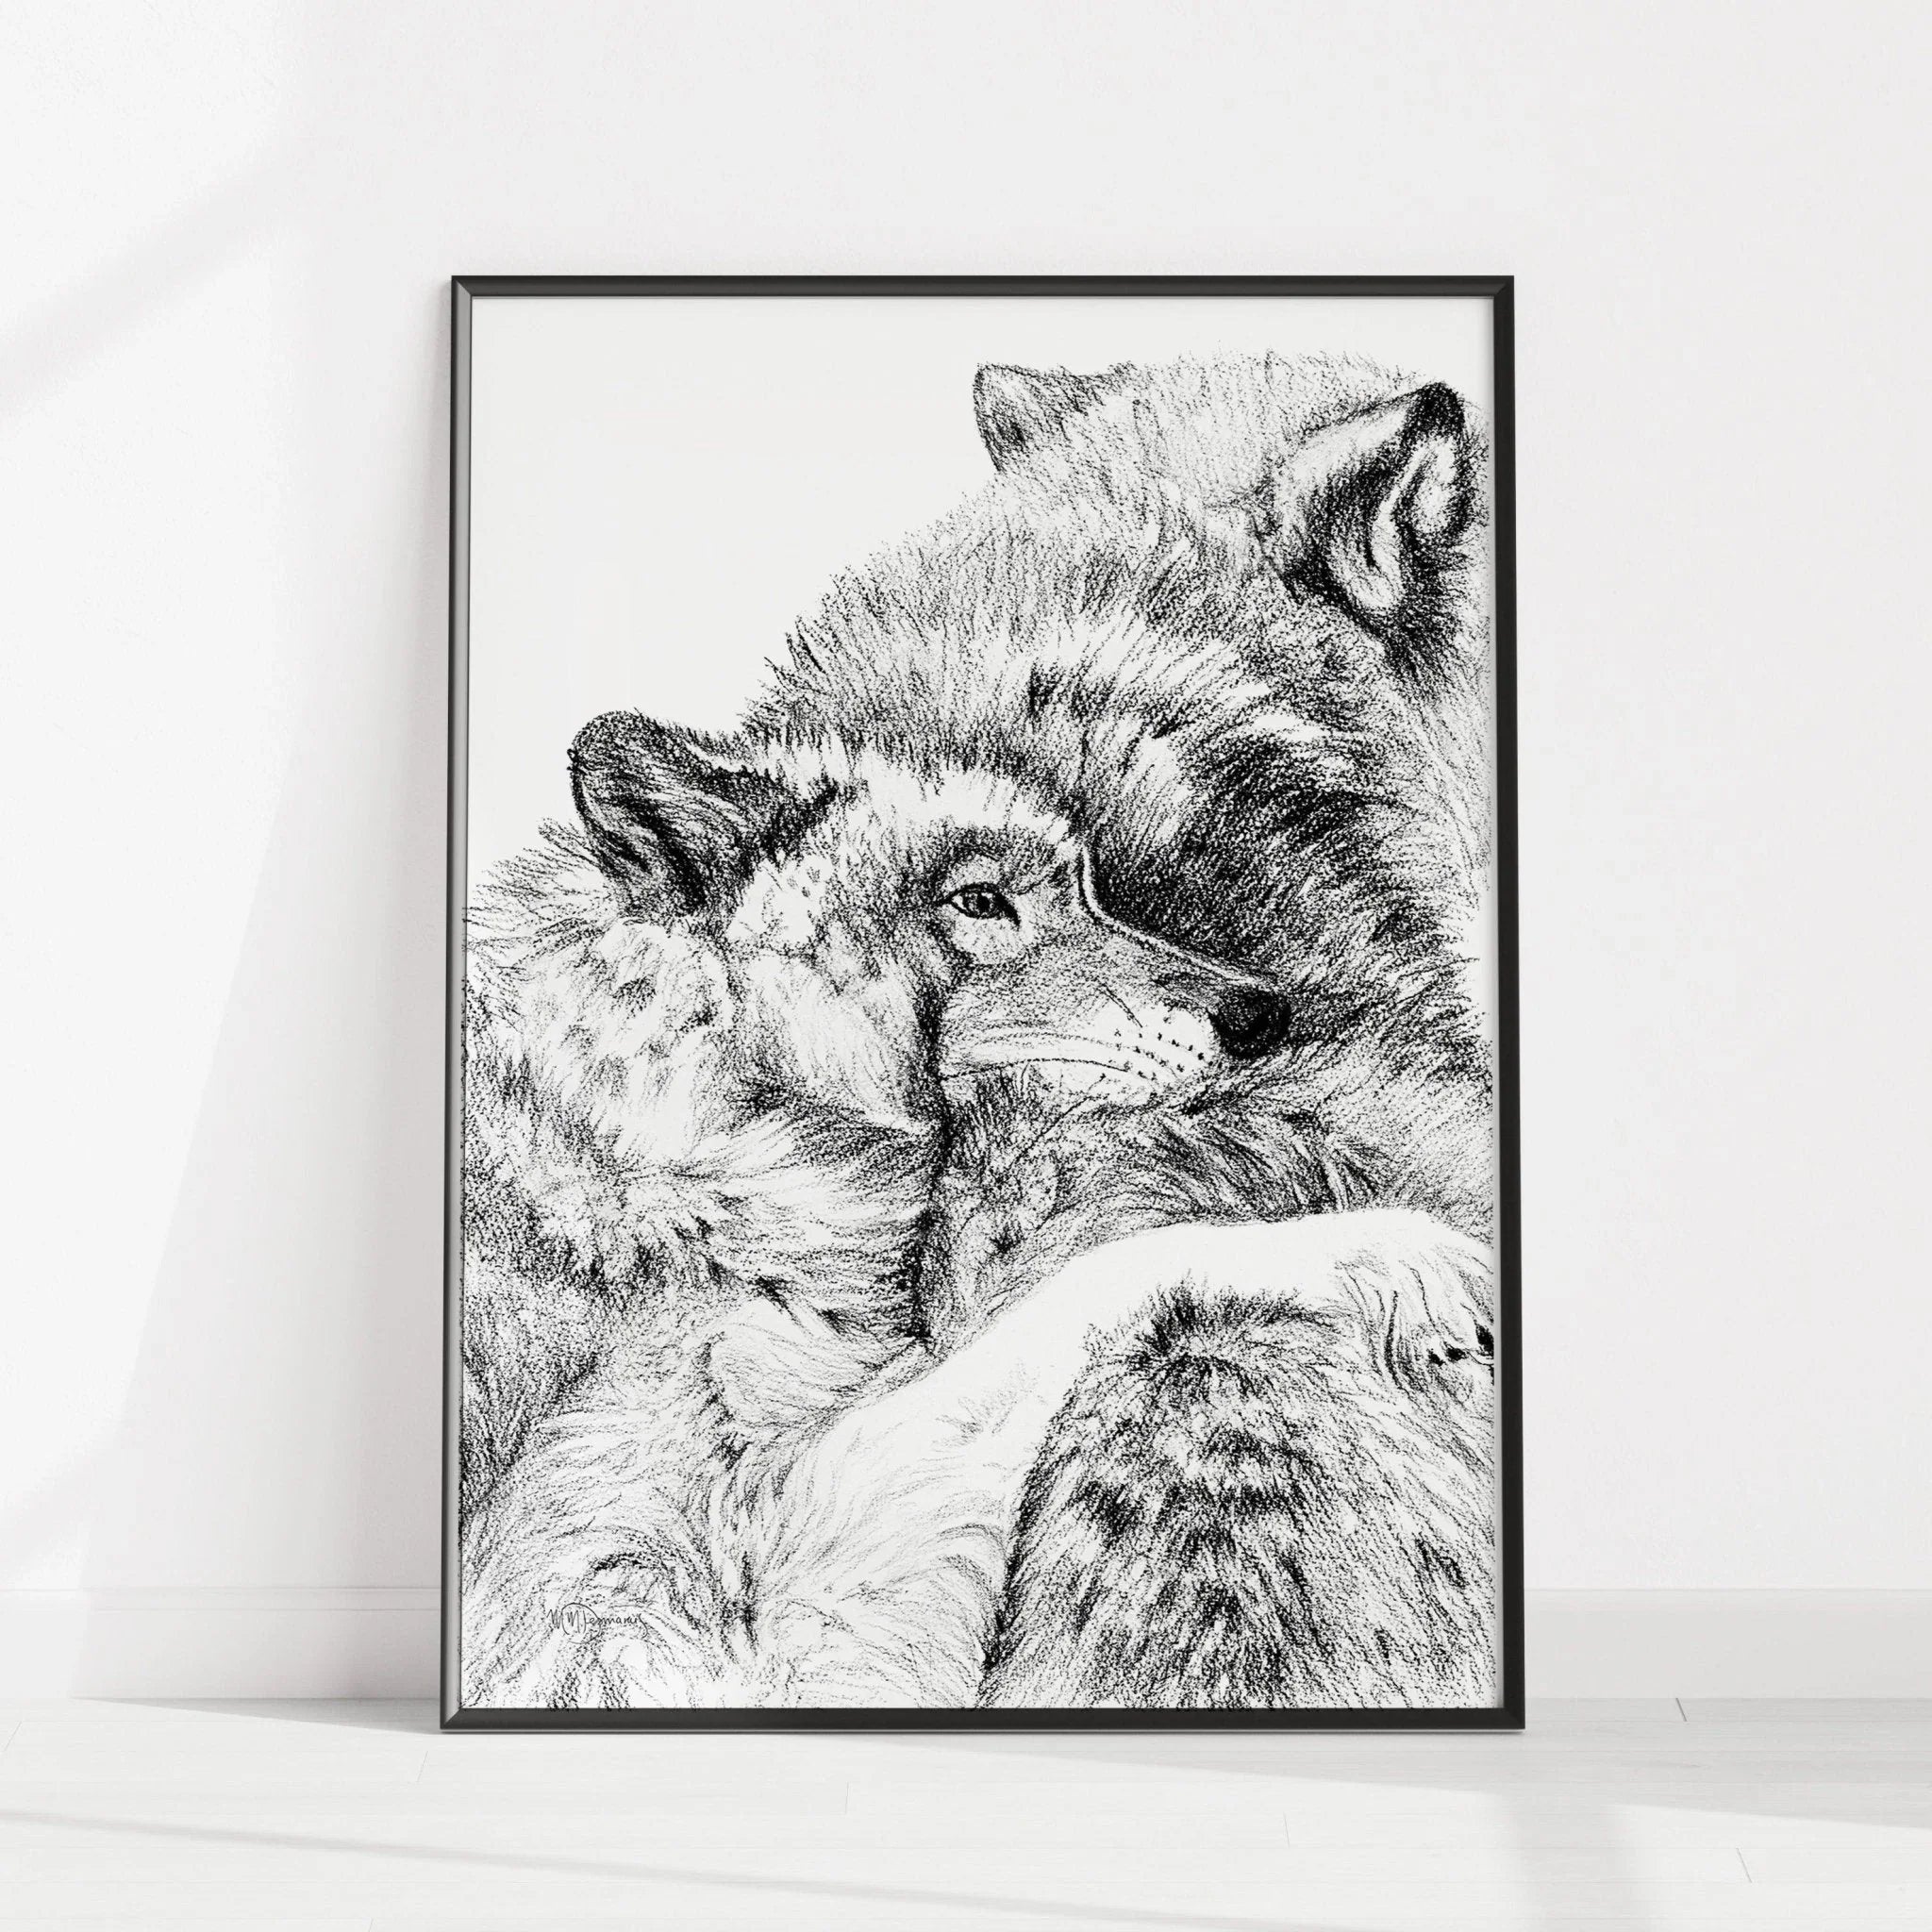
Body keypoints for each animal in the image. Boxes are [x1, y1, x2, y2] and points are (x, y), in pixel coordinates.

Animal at [458, 707, 1492, 1708]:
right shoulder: (730, 1617)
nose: (1263, 1011)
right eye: (982, 902)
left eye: (1087, 893)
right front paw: (1407, 1250)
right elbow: (1108, 1269)